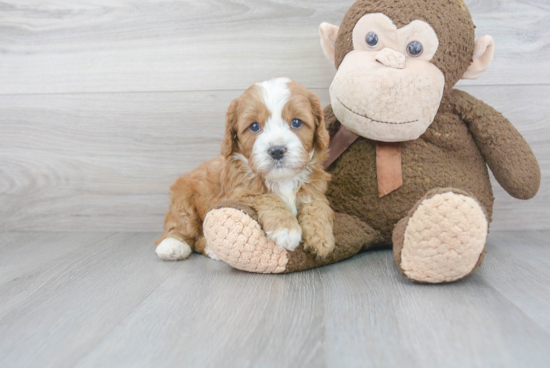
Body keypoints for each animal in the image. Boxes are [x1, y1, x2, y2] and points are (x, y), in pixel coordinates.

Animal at [155, 77, 336, 262]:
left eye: (296, 122)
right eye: (254, 126)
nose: (277, 150)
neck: (282, 179)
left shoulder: (314, 191)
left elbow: (317, 207)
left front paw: (321, 237)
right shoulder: (240, 193)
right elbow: (268, 197)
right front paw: (286, 229)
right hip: (184, 200)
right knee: (181, 227)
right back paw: (173, 245)